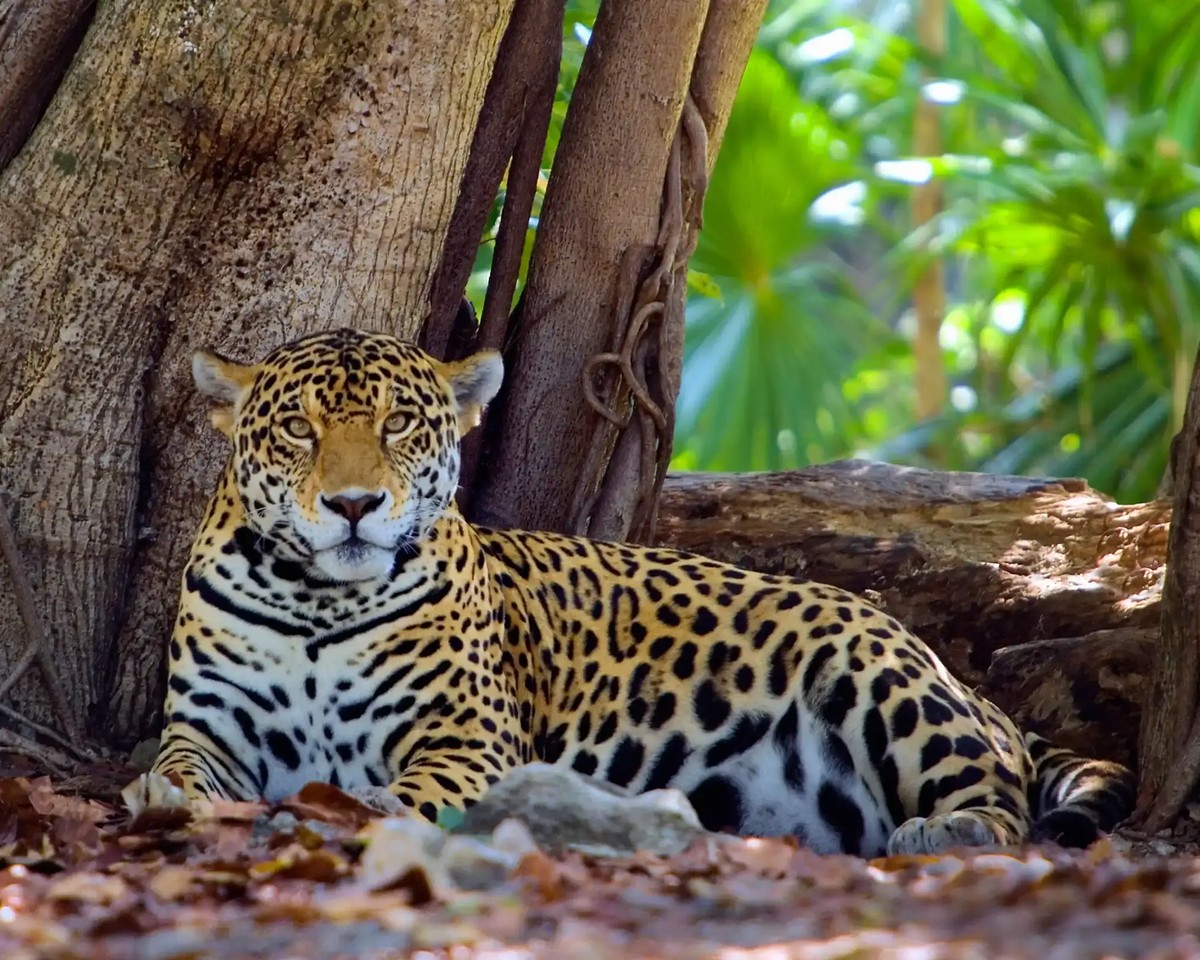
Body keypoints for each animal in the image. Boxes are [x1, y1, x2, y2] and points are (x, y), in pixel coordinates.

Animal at [130, 327, 1133, 857]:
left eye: (401, 425)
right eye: (298, 430)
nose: (351, 505)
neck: (317, 602)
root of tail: (969, 687)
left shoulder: (468, 736)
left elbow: (422, 787)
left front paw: (371, 809)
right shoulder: (211, 727)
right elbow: (176, 767)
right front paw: (157, 796)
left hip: (875, 671)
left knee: (999, 796)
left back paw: (952, 834)